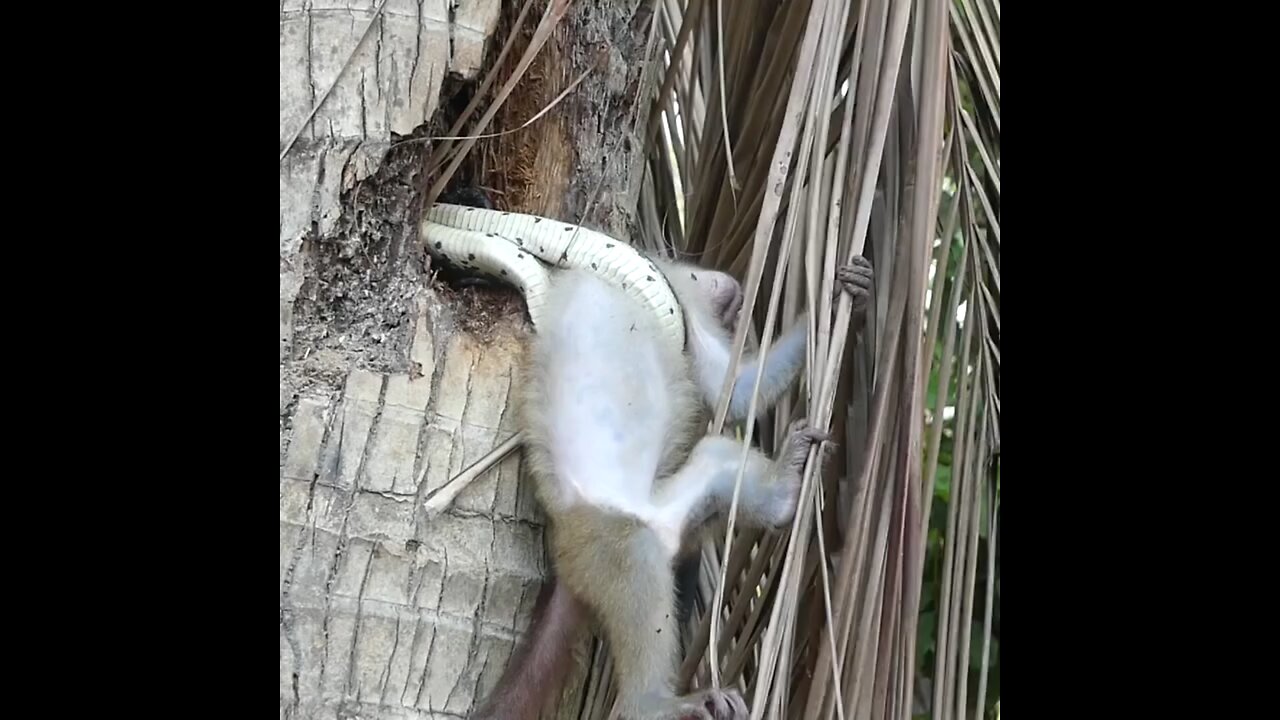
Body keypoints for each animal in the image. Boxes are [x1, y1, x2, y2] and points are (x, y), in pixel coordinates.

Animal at [473, 253, 880, 717]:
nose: (736, 299)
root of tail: (564, 554)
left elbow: (735, 391)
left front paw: (849, 297)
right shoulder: (681, 289)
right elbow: (733, 390)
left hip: (670, 510)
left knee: (715, 460)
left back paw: (782, 495)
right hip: (602, 540)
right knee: (638, 559)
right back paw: (649, 704)